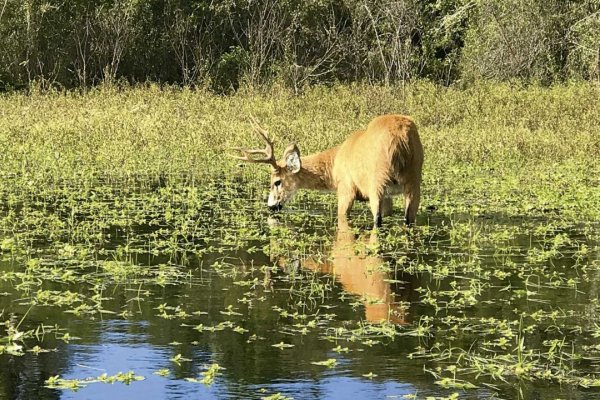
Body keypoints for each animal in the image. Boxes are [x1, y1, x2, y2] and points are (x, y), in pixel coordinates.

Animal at [230, 115, 422, 228]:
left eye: (277, 182)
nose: (271, 206)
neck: (334, 166)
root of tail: (399, 138)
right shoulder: (389, 196)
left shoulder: (345, 188)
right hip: (414, 178)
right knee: (409, 218)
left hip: (377, 181)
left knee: (377, 220)